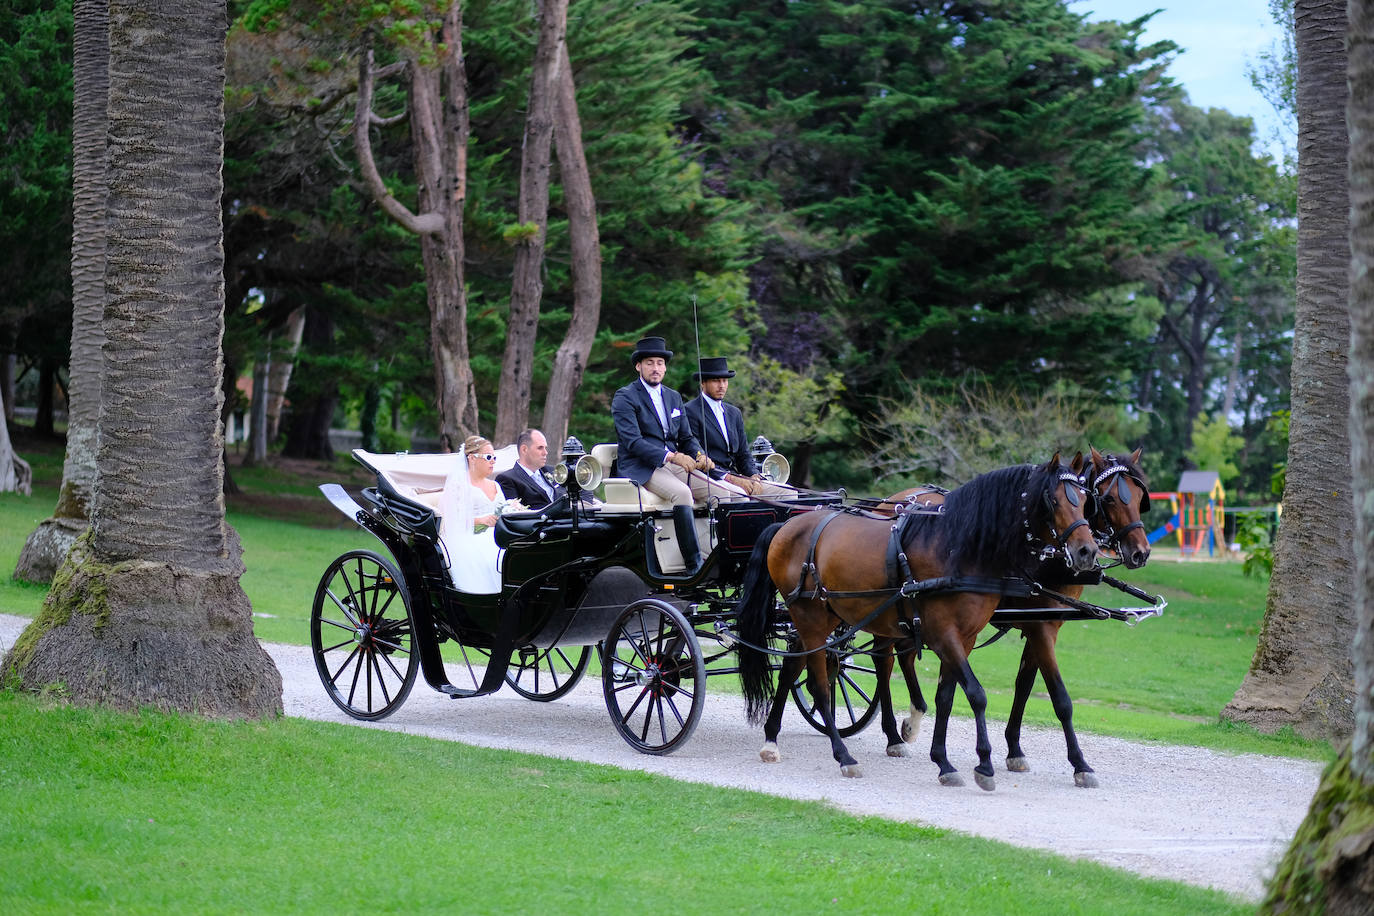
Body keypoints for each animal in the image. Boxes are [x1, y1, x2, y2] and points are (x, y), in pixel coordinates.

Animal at [736, 455, 1099, 791]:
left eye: (1085, 499)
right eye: (1053, 500)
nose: (1087, 551)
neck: (957, 549)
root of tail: (786, 527)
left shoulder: (965, 638)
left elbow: (947, 696)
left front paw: (944, 761)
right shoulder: (946, 635)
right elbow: (977, 694)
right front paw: (984, 765)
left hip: (823, 620)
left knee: (795, 670)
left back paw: (772, 739)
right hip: (811, 620)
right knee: (820, 686)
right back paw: (844, 756)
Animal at [879, 444, 1148, 791]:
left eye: (1140, 497)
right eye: (1109, 499)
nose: (1141, 552)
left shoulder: (1043, 626)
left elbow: (1024, 685)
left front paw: (1014, 749)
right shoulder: (1039, 626)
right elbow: (1060, 698)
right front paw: (1080, 763)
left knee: (905, 655)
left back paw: (913, 717)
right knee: (883, 664)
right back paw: (893, 734)